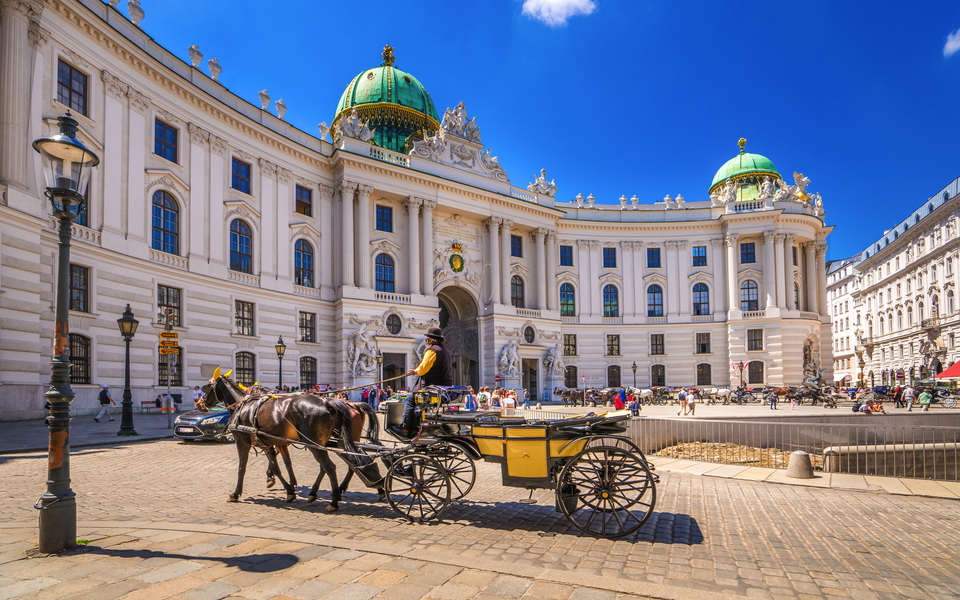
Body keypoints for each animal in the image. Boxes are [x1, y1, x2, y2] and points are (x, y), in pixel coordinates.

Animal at [198, 370, 382, 510]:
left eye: (206, 387)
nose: (199, 404)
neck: (245, 407)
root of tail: (328, 403)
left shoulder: (243, 442)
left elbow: (242, 468)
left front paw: (236, 493)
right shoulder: (274, 444)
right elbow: (282, 466)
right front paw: (289, 488)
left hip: (318, 443)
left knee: (331, 466)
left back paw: (334, 499)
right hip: (333, 442)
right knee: (348, 462)